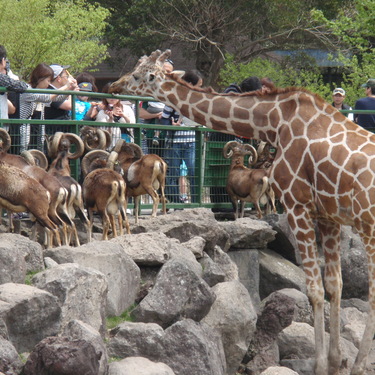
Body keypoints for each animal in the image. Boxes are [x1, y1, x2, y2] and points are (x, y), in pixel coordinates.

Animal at [111, 50, 375, 375]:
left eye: (137, 76)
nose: (113, 86)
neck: (275, 121)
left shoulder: (298, 205)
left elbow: (314, 289)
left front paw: (322, 365)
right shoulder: (328, 216)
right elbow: (335, 286)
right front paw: (336, 362)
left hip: (369, 226)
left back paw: (361, 364)